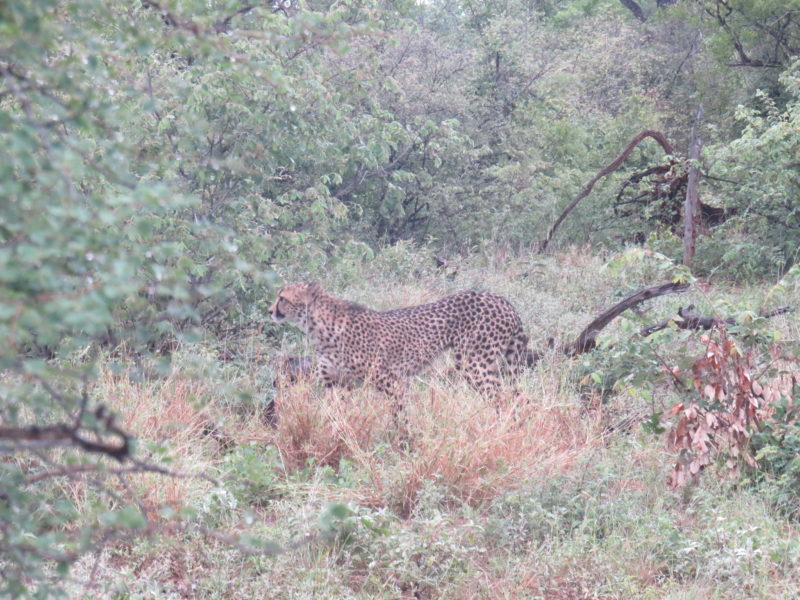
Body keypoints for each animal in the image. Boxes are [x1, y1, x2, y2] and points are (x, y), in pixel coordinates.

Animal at [268, 281, 533, 399]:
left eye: (282, 298)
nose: (270, 310)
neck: (318, 327)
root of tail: (502, 300)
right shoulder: (336, 384)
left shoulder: (393, 381)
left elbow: (399, 420)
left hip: (473, 363)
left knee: (501, 397)